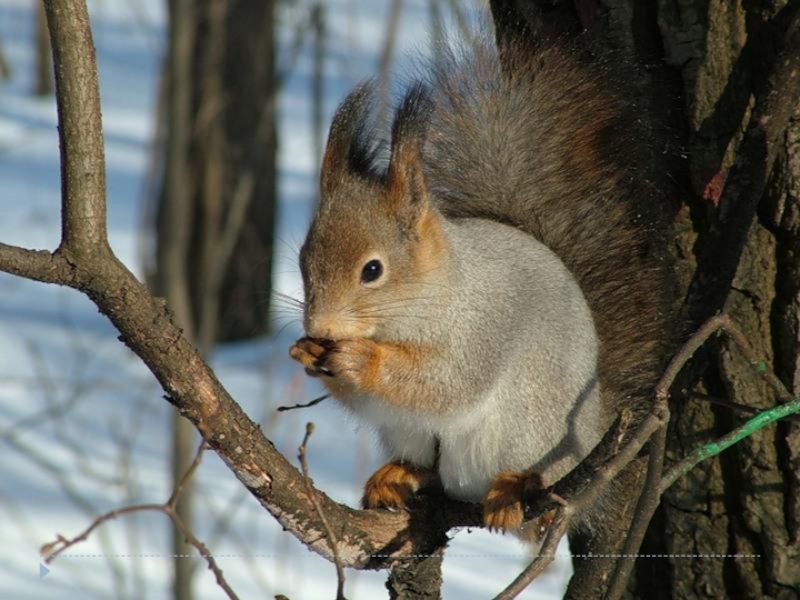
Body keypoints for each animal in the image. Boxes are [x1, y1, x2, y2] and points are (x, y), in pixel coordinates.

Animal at [290, 26, 673, 571]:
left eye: (372, 270)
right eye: (303, 259)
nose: (319, 327)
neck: (426, 298)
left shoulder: (483, 325)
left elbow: (448, 382)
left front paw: (361, 359)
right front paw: (306, 353)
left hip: (530, 427)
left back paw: (516, 486)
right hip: (409, 433)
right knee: (427, 466)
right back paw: (399, 475)